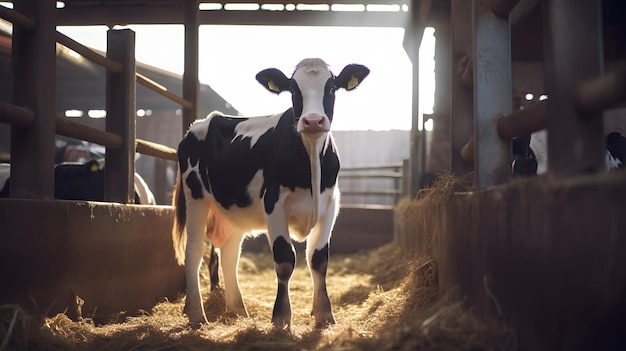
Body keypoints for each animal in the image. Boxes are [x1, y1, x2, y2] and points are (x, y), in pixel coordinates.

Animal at [169, 58, 366, 330]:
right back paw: (197, 315)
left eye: (332, 88)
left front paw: (325, 315)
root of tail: (204, 121)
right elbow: (284, 259)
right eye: (293, 90)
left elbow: (318, 259)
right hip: (195, 196)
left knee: (230, 253)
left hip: (233, 212)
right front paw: (281, 318)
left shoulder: (330, 204)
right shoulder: (273, 202)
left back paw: (238, 310)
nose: (313, 121)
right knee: (194, 252)